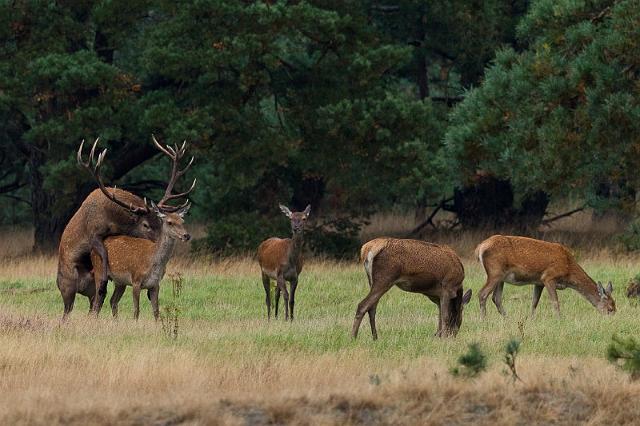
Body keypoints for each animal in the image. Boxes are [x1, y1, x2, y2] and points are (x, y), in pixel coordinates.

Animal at [58, 135, 196, 318]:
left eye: (159, 222)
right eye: (145, 225)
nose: (186, 235)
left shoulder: (153, 284)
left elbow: (156, 311)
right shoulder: (95, 234)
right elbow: (136, 310)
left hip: (107, 286)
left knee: (102, 302)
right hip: (69, 284)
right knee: (73, 308)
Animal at [476, 235, 616, 318]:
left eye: (615, 306)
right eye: (610, 308)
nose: (611, 319)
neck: (568, 269)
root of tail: (480, 248)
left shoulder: (538, 282)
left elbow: (534, 302)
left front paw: (531, 318)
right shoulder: (548, 277)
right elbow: (555, 302)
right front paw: (559, 319)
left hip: (501, 278)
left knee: (496, 298)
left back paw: (507, 318)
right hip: (495, 272)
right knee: (482, 293)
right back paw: (484, 319)